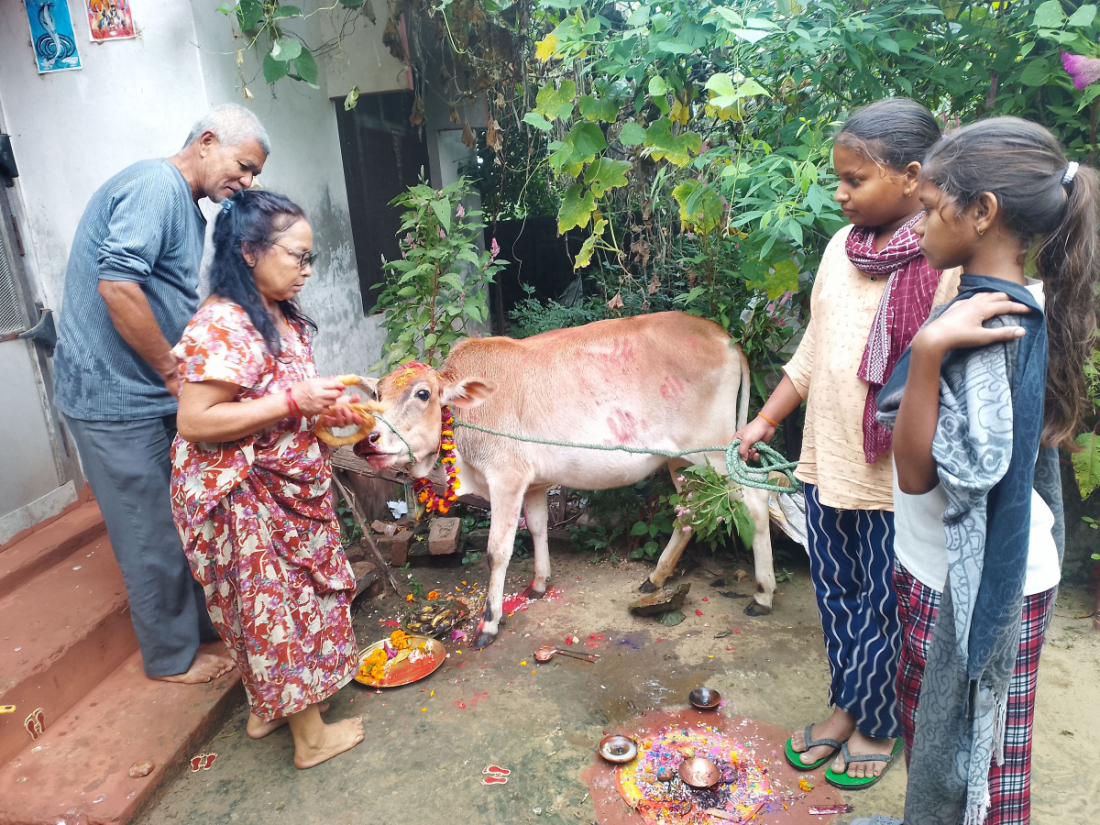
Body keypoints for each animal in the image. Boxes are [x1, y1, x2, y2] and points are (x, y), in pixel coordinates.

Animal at [356, 312, 778, 651]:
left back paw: (762, 595)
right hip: (681, 459)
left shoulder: (506, 478)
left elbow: (498, 551)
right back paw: (656, 578)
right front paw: (539, 584)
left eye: (422, 393)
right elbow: (538, 528)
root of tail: (722, 336)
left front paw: (489, 624)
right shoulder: (535, 483)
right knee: (690, 509)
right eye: (376, 392)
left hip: (717, 452)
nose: (368, 440)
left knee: (757, 504)